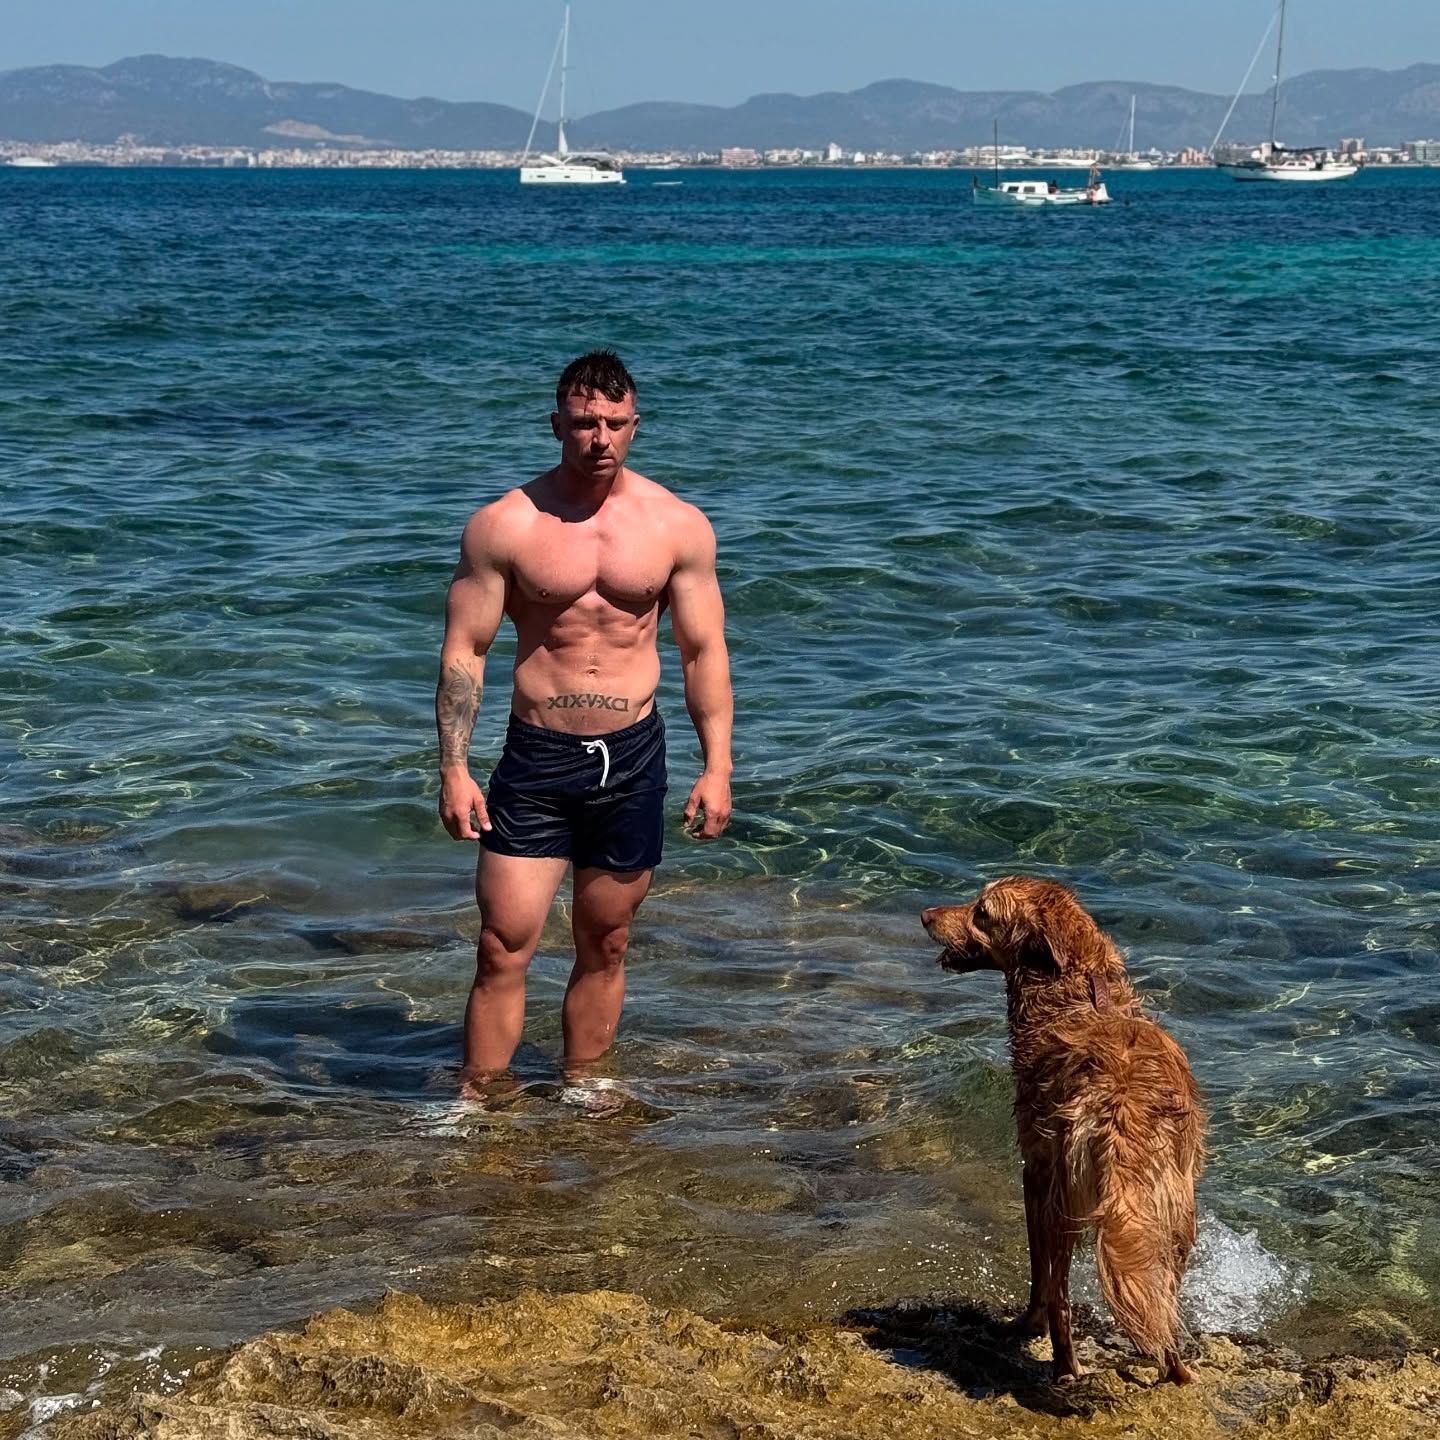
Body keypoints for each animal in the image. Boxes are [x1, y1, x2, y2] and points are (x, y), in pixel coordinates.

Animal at [921, 876, 1206, 1385]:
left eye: (982, 911)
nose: (924, 915)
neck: (1076, 996)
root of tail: (1119, 1108)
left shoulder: (1033, 1172)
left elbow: (1042, 1278)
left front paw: (1027, 1325)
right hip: (1172, 1212)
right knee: (1163, 1301)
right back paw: (1175, 1370)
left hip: (1065, 1197)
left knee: (1060, 1299)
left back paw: (1063, 1365)